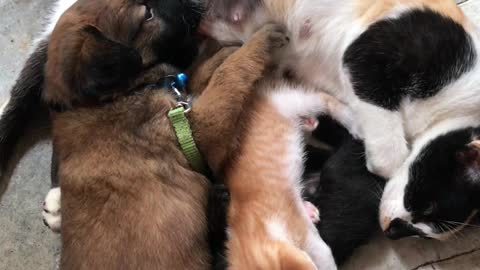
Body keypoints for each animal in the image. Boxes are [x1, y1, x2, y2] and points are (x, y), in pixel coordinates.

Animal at [42, 0, 288, 268]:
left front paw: (224, 51)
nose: (198, 3)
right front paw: (259, 40)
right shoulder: (197, 134)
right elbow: (227, 77)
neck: (114, 97)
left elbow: (198, 72)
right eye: (147, 15)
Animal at [225, 83, 352, 268]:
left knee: (323, 99)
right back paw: (308, 123)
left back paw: (353, 118)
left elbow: (322, 252)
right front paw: (309, 209)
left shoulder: (295, 224)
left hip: (286, 102)